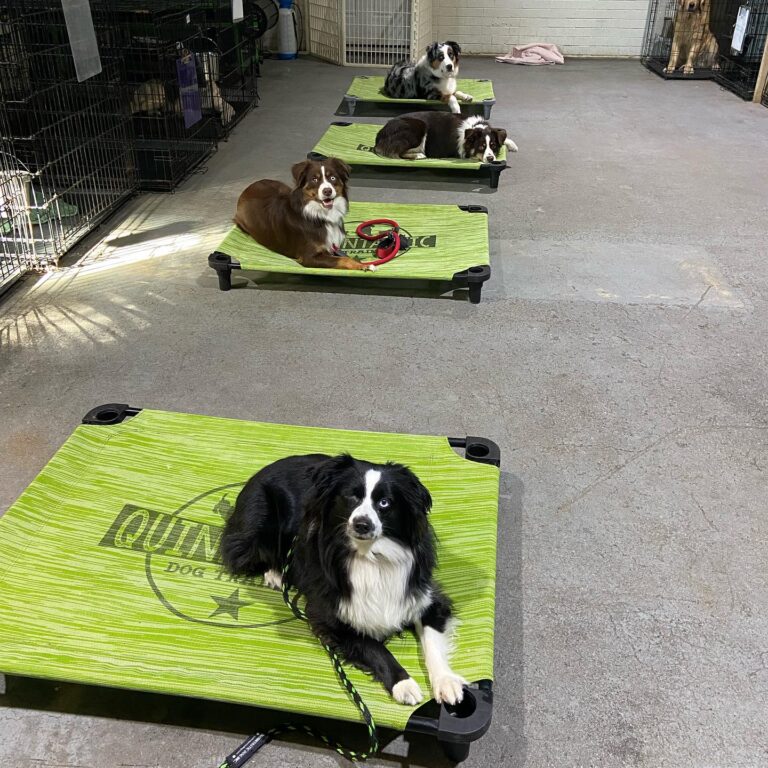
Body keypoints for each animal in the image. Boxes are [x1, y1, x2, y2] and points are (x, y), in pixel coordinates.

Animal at [232, 158, 370, 272]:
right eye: (314, 179)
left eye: (332, 178)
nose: (327, 191)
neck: (321, 216)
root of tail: (248, 187)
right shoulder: (309, 257)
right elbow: (343, 259)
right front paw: (362, 265)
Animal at [376, 111, 520, 164]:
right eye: (481, 147)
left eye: (493, 146)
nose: (490, 159)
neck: (474, 127)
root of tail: (379, 134)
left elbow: (503, 135)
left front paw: (512, 145)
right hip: (417, 128)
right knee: (397, 153)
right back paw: (418, 155)